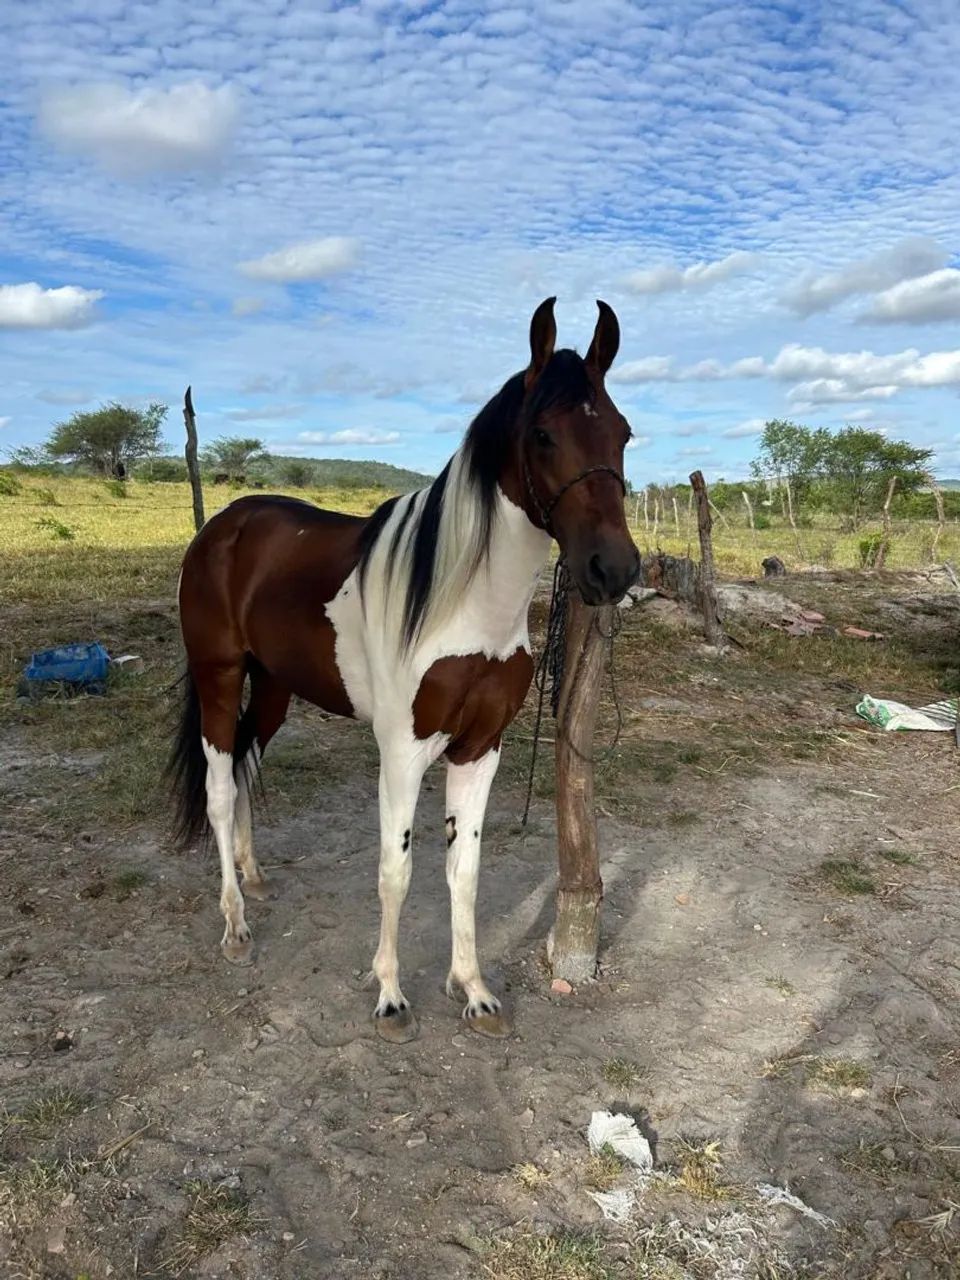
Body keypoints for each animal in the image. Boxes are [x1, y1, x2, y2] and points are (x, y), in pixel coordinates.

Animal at [168, 297, 640, 1042]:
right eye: (542, 434)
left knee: (245, 761)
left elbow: (463, 871)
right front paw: (390, 996)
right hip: (218, 675)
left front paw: (474, 990)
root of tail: (222, 527)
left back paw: (254, 876)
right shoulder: (402, 750)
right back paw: (235, 923)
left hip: (272, 685)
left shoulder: (480, 749)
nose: (612, 570)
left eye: (622, 433)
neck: (461, 599)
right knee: (218, 786)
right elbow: (398, 869)